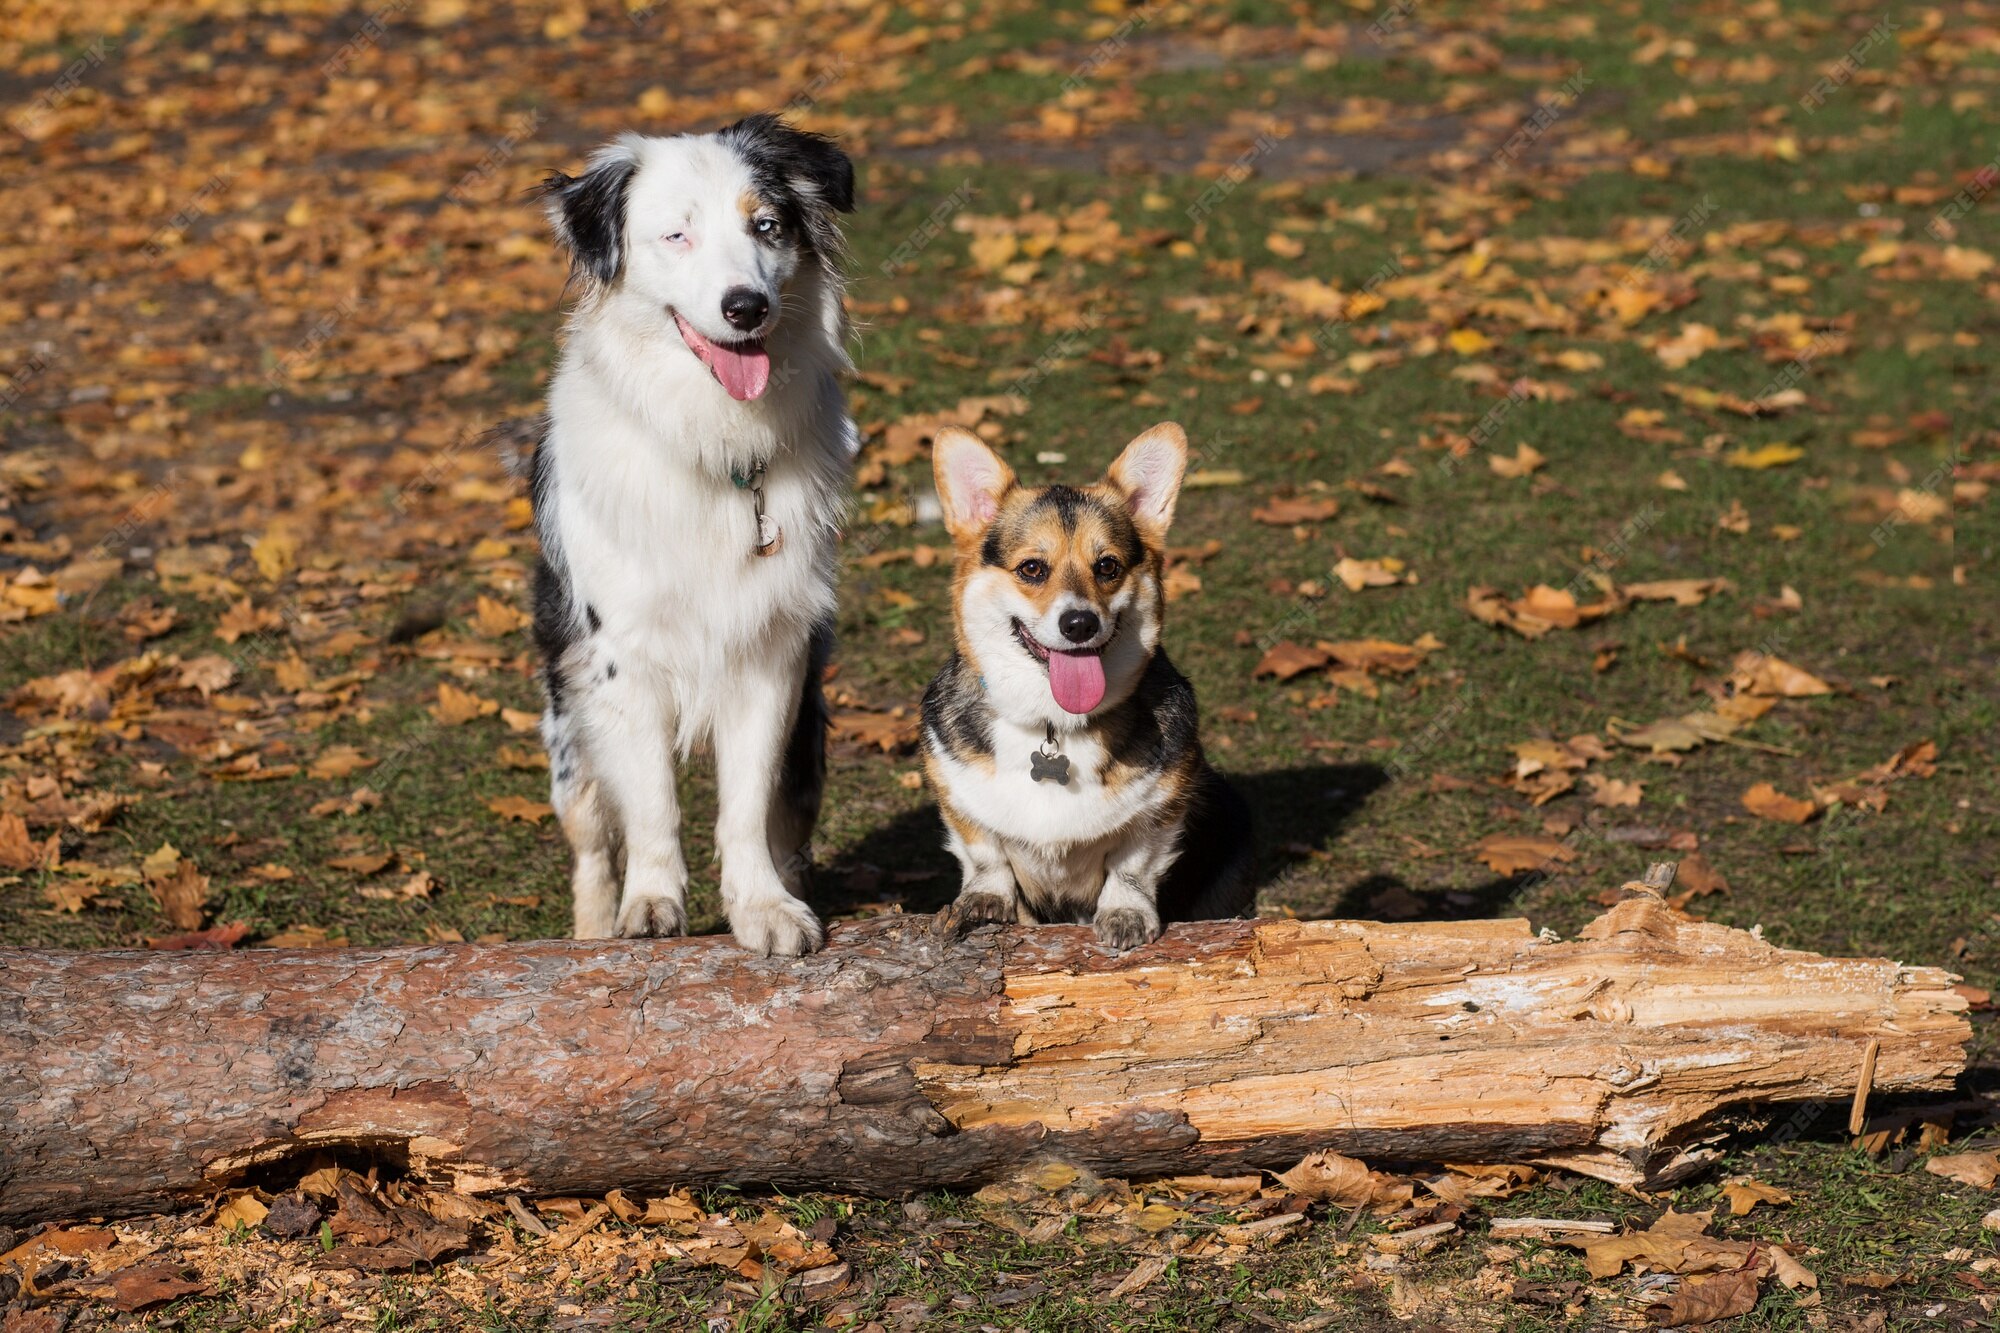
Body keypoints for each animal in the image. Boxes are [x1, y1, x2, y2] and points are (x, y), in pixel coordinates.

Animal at [528, 111, 856, 944]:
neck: (713, 440)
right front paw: (650, 903)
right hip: (568, 726)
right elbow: (651, 802)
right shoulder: (621, 656)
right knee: (591, 841)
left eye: (766, 226)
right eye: (677, 235)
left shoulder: (773, 651)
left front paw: (764, 907)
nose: (746, 306)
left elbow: (744, 808)